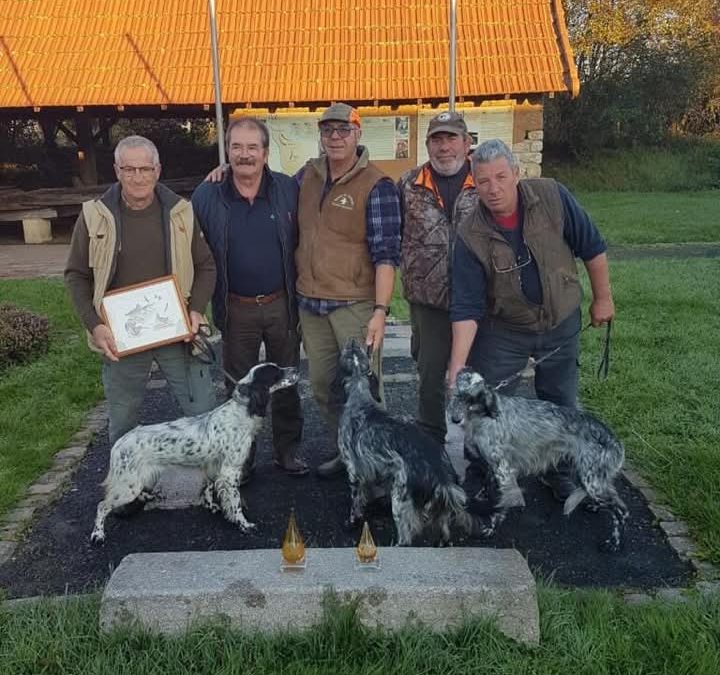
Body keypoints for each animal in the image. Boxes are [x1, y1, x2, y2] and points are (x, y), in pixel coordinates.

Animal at [90, 364, 298, 544]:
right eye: (276, 372)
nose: (295, 369)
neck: (241, 410)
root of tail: (119, 443)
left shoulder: (213, 467)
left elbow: (208, 488)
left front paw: (212, 507)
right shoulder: (229, 472)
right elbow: (235, 502)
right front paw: (244, 524)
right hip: (129, 485)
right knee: (102, 505)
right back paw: (98, 535)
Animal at [334, 340, 476, 548]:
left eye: (349, 351)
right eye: (357, 350)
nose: (352, 341)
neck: (360, 401)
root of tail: (441, 476)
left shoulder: (353, 470)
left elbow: (356, 502)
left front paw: (352, 522)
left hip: (400, 501)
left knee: (406, 538)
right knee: (443, 531)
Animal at [452, 368, 628, 552]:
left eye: (472, 400)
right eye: (457, 394)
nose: (455, 419)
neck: (484, 415)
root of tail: (615, 441)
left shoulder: (504, 471)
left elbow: (500, 505)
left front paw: (490, 528)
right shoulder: (493, 466)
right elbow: (487, 482)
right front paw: (483, 495)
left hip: (592, 482)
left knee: (622, 510)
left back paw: (614, 543)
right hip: (589, 477)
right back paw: (595, 506)